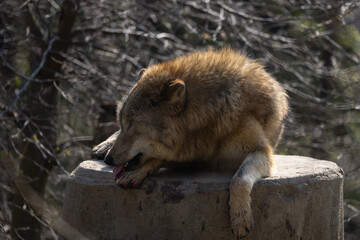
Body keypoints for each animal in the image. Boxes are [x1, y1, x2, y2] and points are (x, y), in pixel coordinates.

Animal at [93, 47, 290, 238]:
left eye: (132, 123)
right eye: (122, 122)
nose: (108, 160)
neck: (211, 116)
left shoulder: (261, 151)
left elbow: (239, 179)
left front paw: (240, 218)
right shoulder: (194, 156)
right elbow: (159, 158)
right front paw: (137, 171)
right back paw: (103, 147)